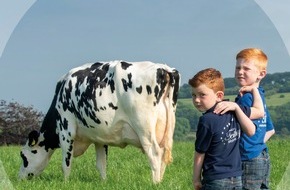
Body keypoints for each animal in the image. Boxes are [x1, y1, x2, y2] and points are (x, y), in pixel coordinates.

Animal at [18, 60, 179, 183]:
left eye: (23, 156)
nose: (20, 178)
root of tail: (164, 68)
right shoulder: (100, 138)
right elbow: (101, 164)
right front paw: (103, 182)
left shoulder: (66, 129)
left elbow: (66, 163)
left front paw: (65, 182)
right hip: (167, 130)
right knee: (163, 155)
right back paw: (161, 181)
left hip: (144, 127)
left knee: (155, 153)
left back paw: (155, 183)